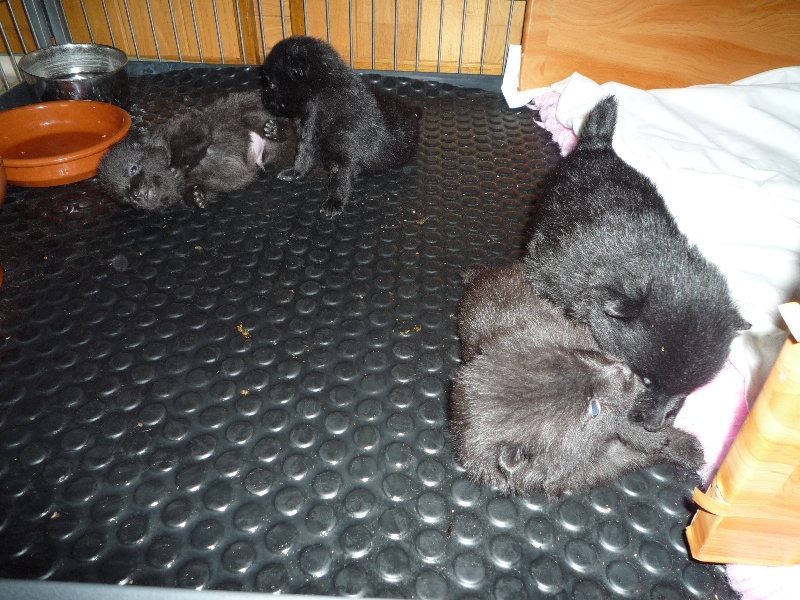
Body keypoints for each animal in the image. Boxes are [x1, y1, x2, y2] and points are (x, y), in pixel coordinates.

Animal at [98, 91, 294, 211]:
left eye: (133, 169)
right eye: (126, 196)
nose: (136, 195)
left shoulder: (191, 126)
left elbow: (189, 144)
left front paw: (177, 165)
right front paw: (195, 196)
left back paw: (278, 129)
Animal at [261, 36, 421, 217]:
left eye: (272, 84)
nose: (262, 96)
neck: (320, 99)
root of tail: (413, 111)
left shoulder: (343, 157)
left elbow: (339, 180)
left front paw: (334, 202)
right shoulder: (308, 137)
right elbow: (303, 157)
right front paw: (295, 173)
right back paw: (276, 129)